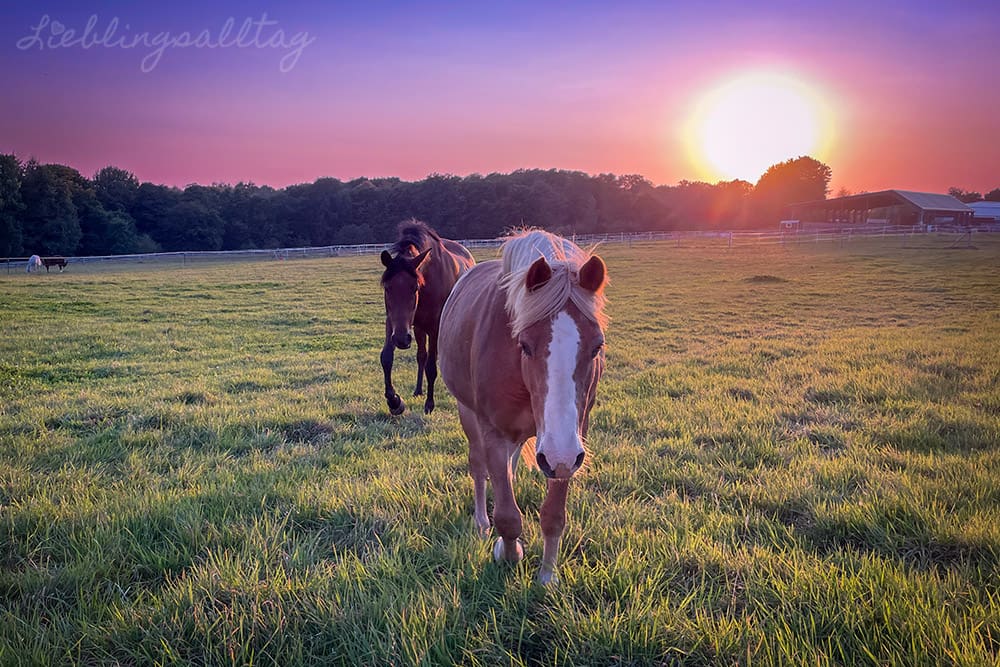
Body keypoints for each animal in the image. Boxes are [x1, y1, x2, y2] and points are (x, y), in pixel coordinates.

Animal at [382, 222, 476, 414]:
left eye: (415, 287)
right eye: (387, 288)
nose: (402, 340)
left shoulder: (434, 327)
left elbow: (431, 367)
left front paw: (429, 404)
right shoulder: (394, 323)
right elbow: (387, 357)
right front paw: (395, 401)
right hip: (417, 328)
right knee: (421, 356)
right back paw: (418, 390)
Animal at [440, 230, 608, 584]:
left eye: (597, 346)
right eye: (525, 345)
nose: (558, 454)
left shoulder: (571, 441)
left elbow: (553, 514)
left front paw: (547, 576)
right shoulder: (494, 431)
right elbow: (506, 514)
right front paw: (508, 553)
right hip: (468, 414)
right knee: (479, 467)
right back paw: (481, 524)